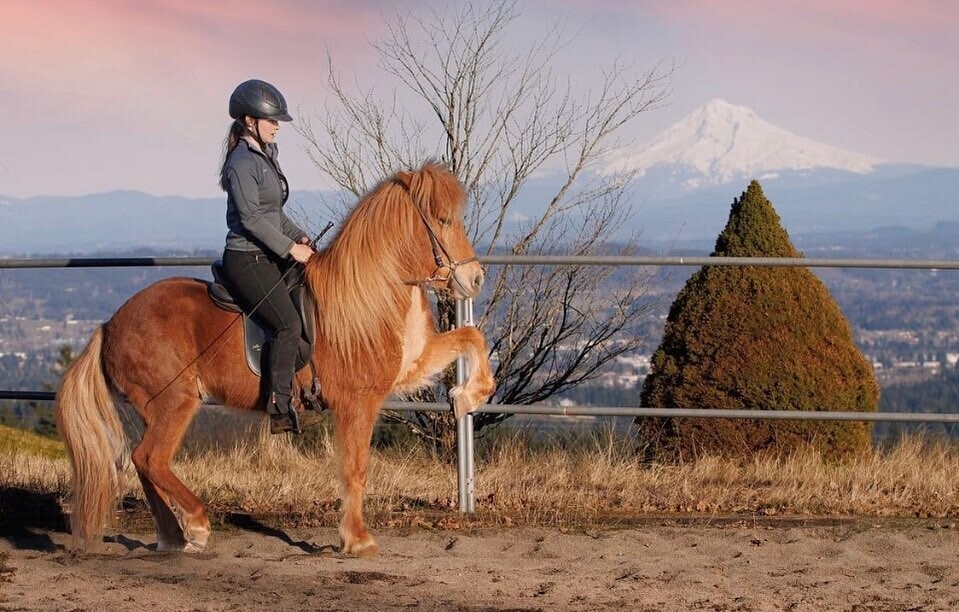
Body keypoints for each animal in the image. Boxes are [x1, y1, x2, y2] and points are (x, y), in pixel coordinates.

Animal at [54, 161, 496, 556]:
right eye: (442, 220)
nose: (475, 279)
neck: (371, 293)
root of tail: (109, 325)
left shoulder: (411, 363)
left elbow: (471, 337)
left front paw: (465, 398)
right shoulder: (358, 401)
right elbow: (355, 469)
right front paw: (357, 540)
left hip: (156, 408)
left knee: (144, 463)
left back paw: (173, 537)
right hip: (175, 402)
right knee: (150, 459)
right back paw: (196, 525)